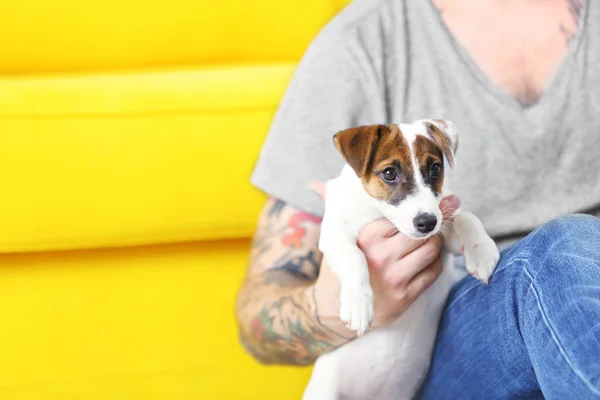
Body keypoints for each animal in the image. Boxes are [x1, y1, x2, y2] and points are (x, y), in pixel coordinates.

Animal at [302, 119, 500, 400]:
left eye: (435, 169)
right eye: (389, 173)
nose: (427, 223)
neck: (379, 213)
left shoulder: (443, 231)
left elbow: (465, 217)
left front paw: (481, 250)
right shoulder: (334, 233)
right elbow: (354, 258)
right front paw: (359, 303)